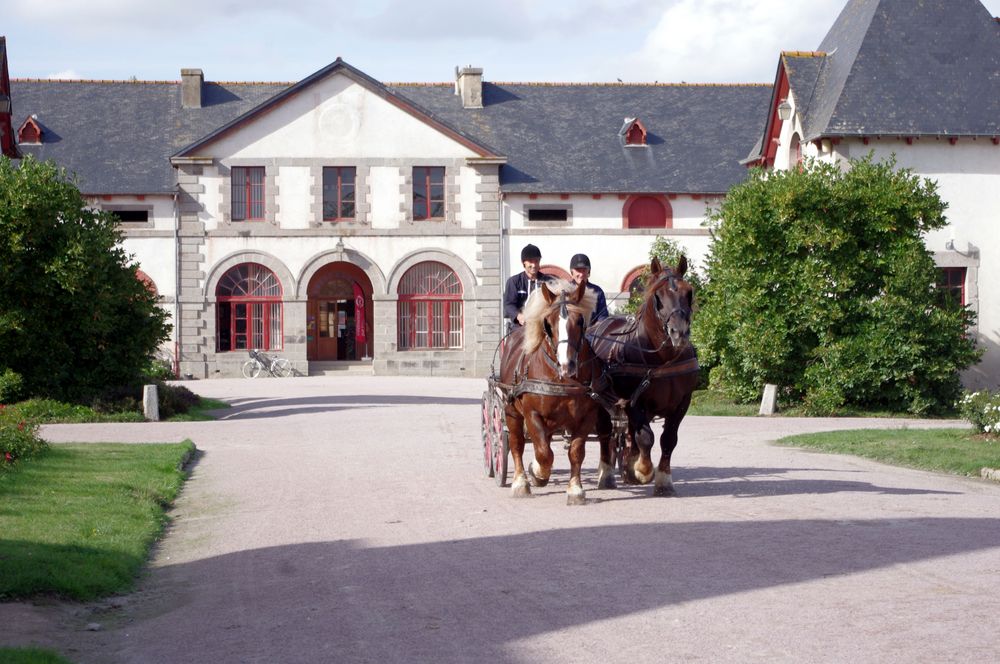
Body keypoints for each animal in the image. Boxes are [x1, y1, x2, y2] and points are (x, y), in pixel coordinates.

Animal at [500, 278, 600, 504]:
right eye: (548, 323)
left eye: (580, 321)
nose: (566, 365)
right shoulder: (532, 414)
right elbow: (544, 453)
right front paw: (537, 473)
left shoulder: (588, 416)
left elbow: (576, 451)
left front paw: (575, 489)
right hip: (512, 411)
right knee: (517, 443)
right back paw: (520, 482)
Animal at [588, 256, 700, 496]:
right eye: (658, 295)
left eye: (689, 291)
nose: (679, 332)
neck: (663, 358)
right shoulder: (633, 401)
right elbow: (646, 438)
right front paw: (642, 469)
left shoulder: (682, 402)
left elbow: (668, 439)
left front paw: (663, 480)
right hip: (600, 401)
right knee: (606, 433)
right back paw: (606, 473)